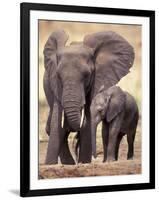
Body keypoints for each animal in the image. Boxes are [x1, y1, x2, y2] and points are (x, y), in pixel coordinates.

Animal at [43, 29, 134, 164]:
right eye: (58, 75)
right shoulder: (55, 85)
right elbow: (56, 123)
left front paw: (84, 162)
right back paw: (69, 163)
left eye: (87, 75)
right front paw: (49, 164)